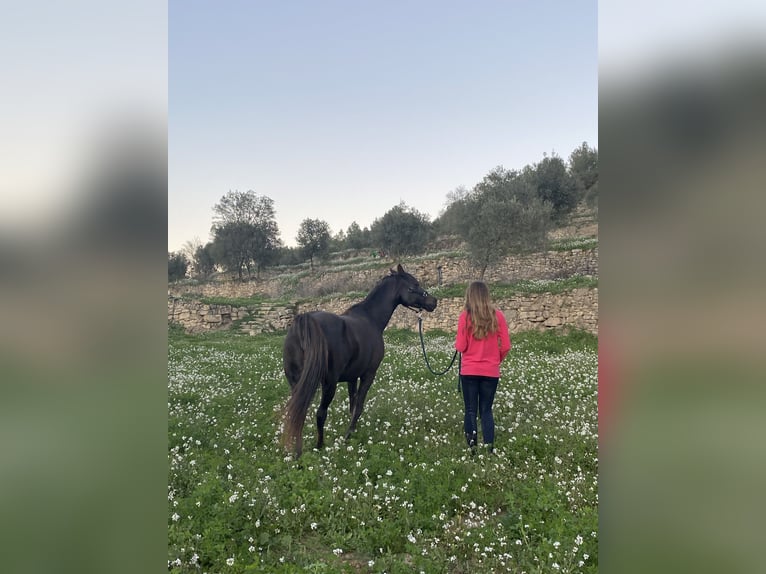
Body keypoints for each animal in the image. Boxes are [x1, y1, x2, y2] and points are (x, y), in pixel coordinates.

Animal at [282, 266, 438, 460]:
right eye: (413, 285)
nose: (433, 301)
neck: (370, 319)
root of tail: (305, 322)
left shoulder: (352, 377)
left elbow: (352, 403)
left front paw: (353, 431)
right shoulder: (368, 375)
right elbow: (359, 407)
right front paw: (348, 435)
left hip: (296, 383)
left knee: (299, 413)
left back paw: (297, 452)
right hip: (328, 385)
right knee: (320, 413)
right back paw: (319, 446)